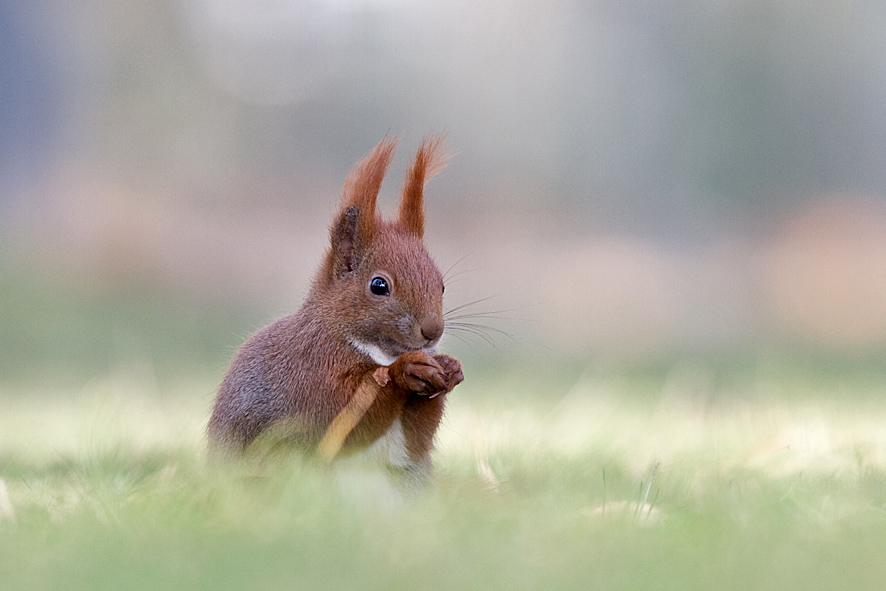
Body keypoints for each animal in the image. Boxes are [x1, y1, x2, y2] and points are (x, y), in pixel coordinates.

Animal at [206, 135, 464, 480]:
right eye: (379, 285)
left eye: (442, 285)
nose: (433, 331)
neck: (377, 351)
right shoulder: (308, 374)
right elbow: (338, 420)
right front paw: (405, 371)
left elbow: (414, 444)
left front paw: (449, 368)